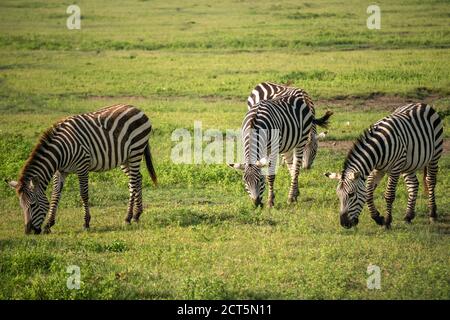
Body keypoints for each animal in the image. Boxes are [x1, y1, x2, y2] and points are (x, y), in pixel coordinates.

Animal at [5, 104, 158, 234]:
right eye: (21, 206)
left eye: (33, 205)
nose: (28, 232)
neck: (60, 151)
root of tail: (137, 109)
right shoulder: (61, 171)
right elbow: (55, 195)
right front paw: (49, 225)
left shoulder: (82, 167)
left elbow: (83, 194)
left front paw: (86, 223)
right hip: (124, 158)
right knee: (138, 179)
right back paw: (137, 215)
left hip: (136, 151)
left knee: (133, 183)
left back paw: (128, 217)